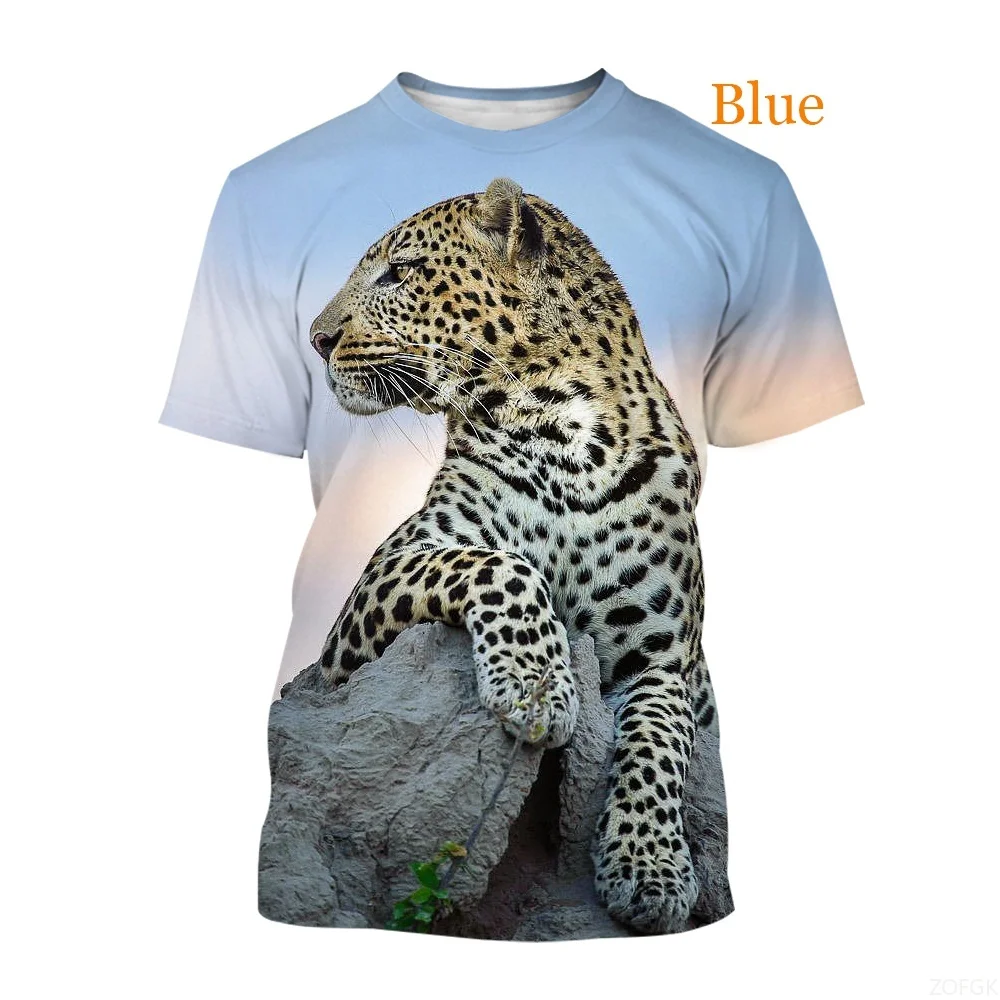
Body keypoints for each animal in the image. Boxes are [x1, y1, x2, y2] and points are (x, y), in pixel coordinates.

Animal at [308, 177, 719, 935]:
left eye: (399, 273)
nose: (318, 341)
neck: (566, 435)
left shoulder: (665, 660)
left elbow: (658, 741)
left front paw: (649, 870)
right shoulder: (371, 600)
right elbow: (501, 565)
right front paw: (536, 688)